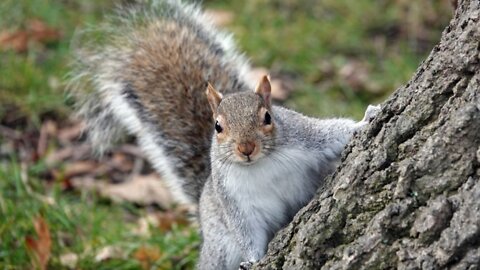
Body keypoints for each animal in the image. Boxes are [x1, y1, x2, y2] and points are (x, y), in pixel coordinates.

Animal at [69, 0, 380, 270]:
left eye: (267, 118)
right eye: (217, 127)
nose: (246, 148)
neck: (262, 164)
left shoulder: (303, 136)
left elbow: (330, 133)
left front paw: (364, 120)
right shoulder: (233, 200)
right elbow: (247, 232)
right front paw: (253, 261)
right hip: (218, 247)